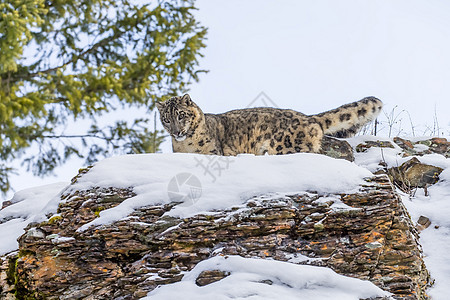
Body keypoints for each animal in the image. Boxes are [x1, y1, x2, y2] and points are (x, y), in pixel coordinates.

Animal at [156, 94, 382, 156]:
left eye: (181, 115)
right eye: (166, 119)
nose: (176, 131)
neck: (186, 144)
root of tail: (309, 118)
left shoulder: (213, 153)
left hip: (282, 146)